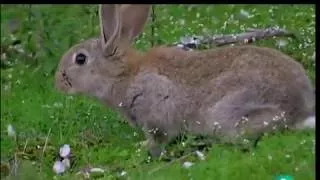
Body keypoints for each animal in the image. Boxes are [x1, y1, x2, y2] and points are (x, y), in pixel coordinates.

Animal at [55, 4, 316, 158]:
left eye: (80, 59)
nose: (58, 83)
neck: (124, 75)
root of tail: (299, 108)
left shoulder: (156, 112)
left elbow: (158, 137)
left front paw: (143, 148)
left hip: (228, 113)